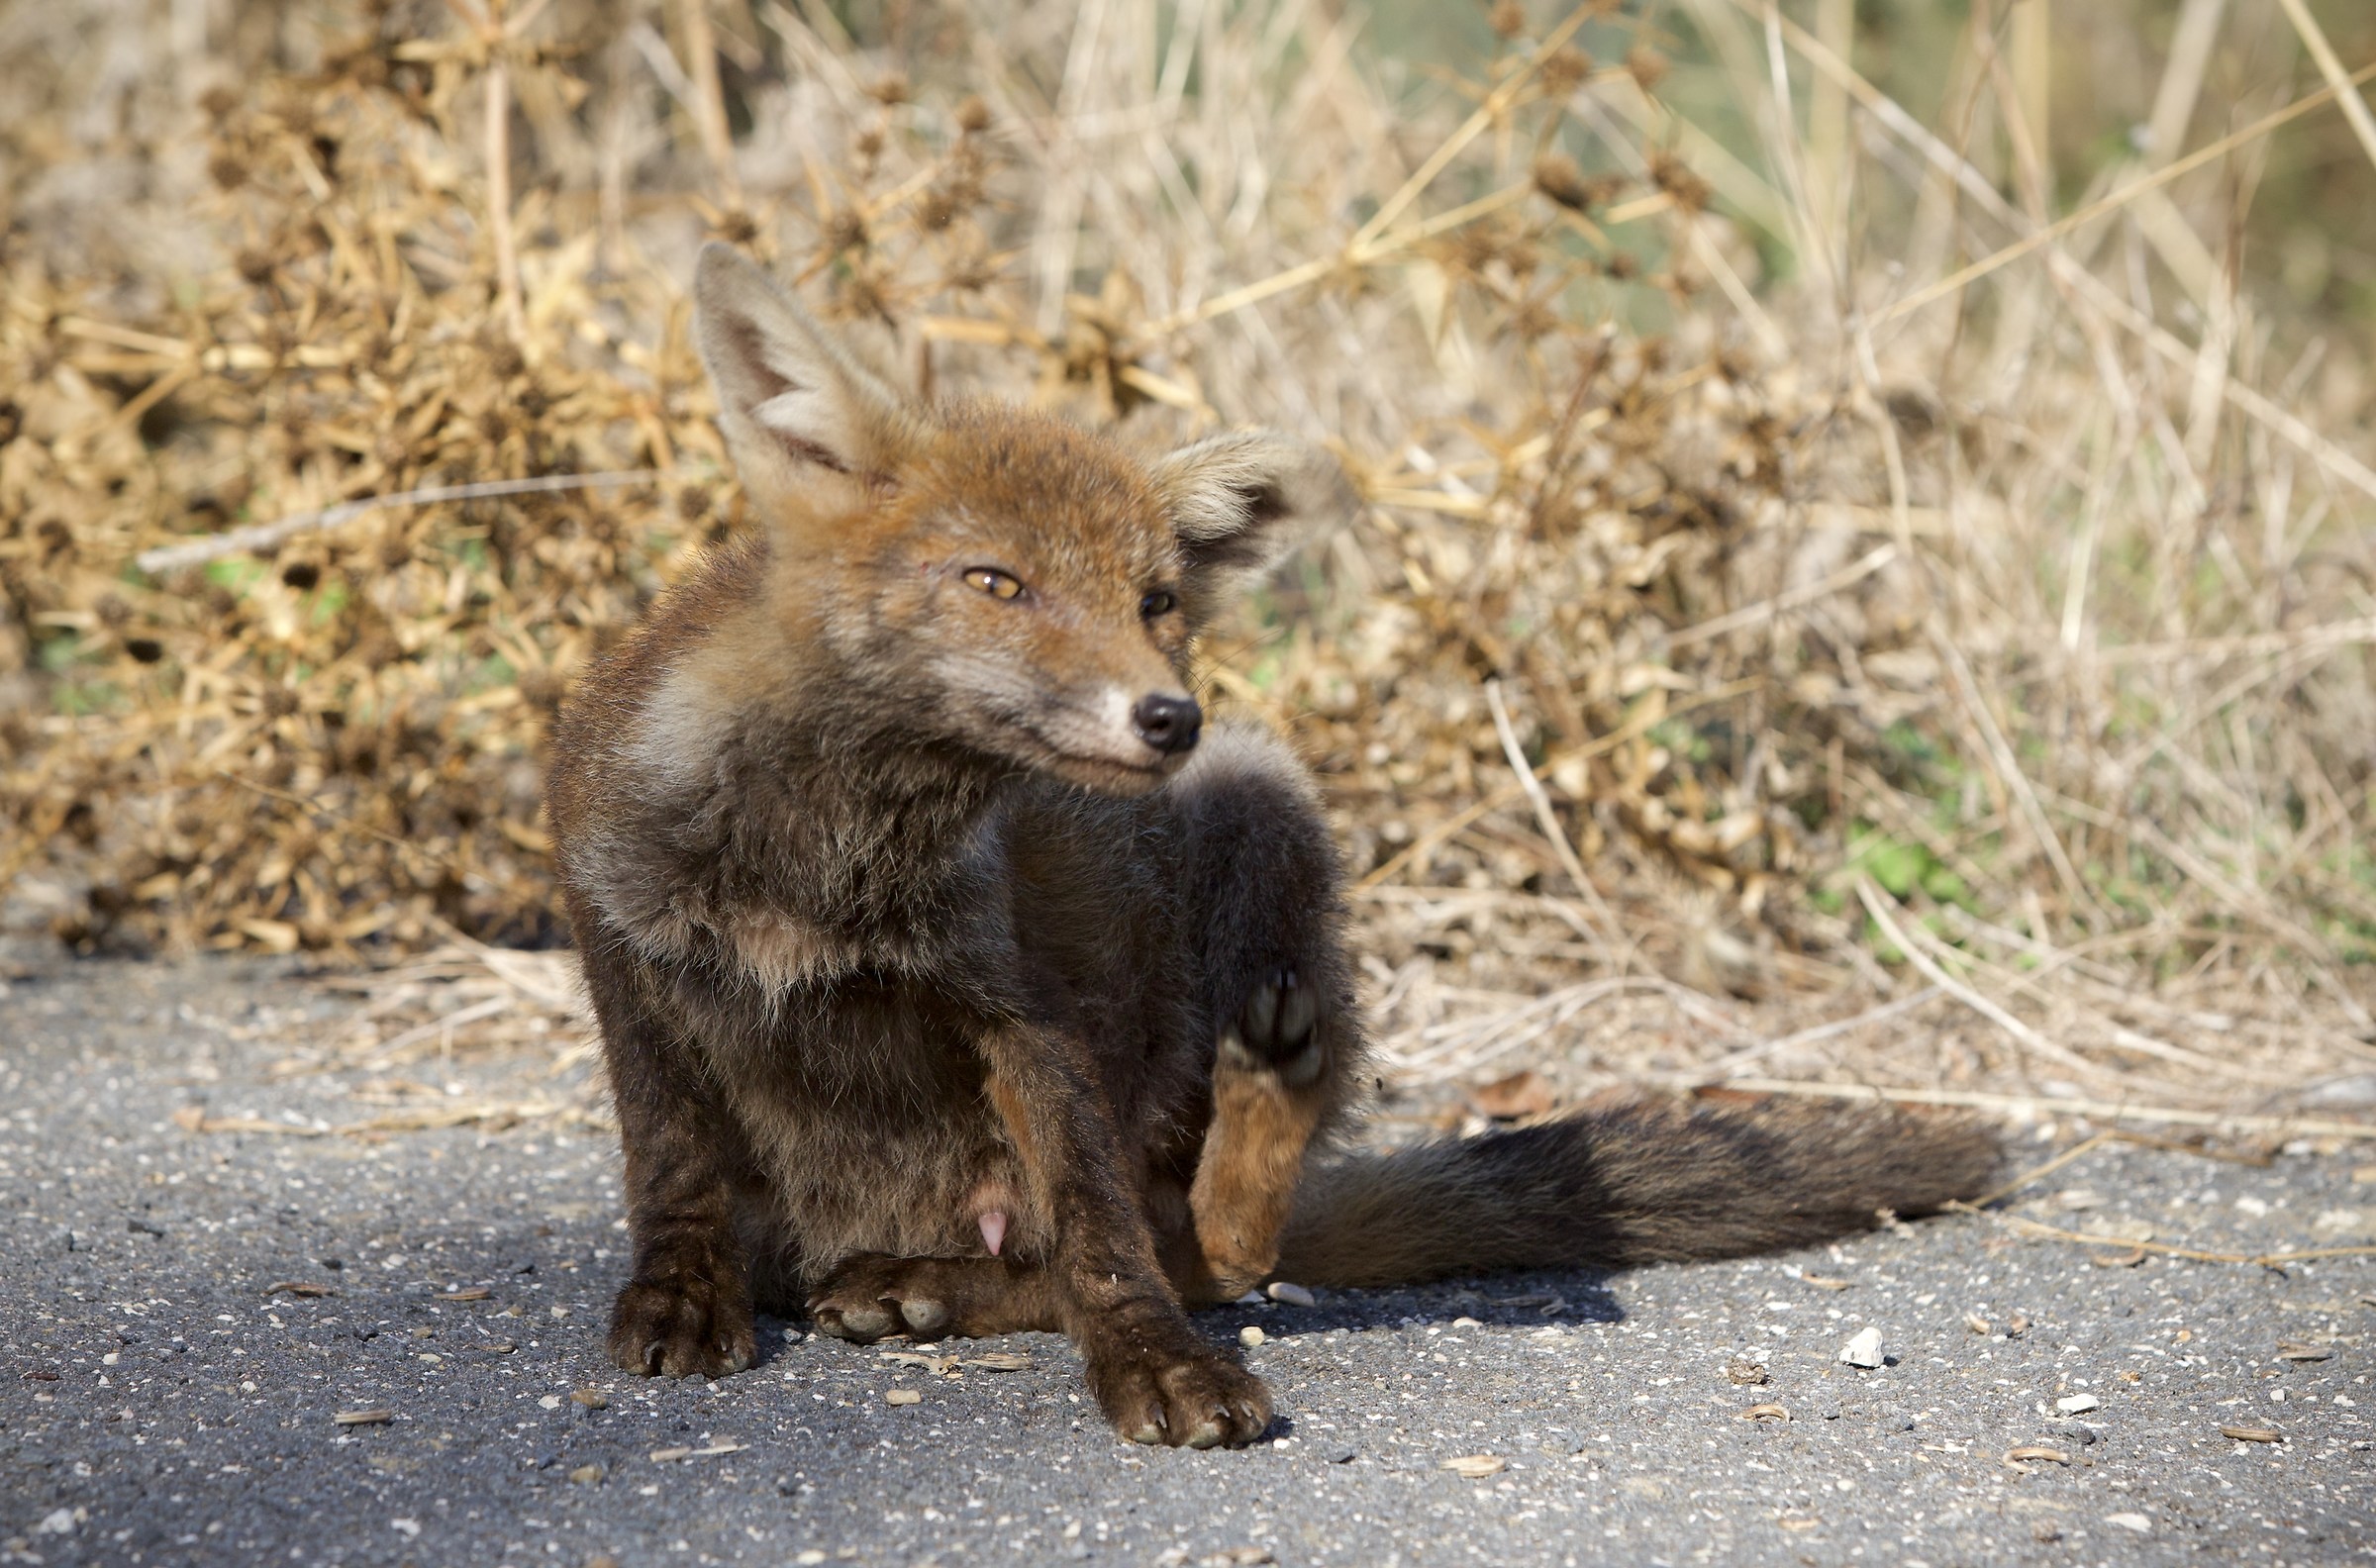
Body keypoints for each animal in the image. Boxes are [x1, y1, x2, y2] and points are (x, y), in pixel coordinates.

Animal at [543, 242, 2002, 1449]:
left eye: (1155, 602)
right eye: (995, 583)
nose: (1168, 716)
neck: (823, 864)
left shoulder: (1018, 1004)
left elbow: (1104, 1247)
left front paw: (1152, 1363)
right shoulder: (613, 931)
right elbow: (669, 1162)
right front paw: (678, 1294)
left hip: (1262, 795)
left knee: (1197, 1249)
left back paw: (1194, 1147)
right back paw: (908, 1286)